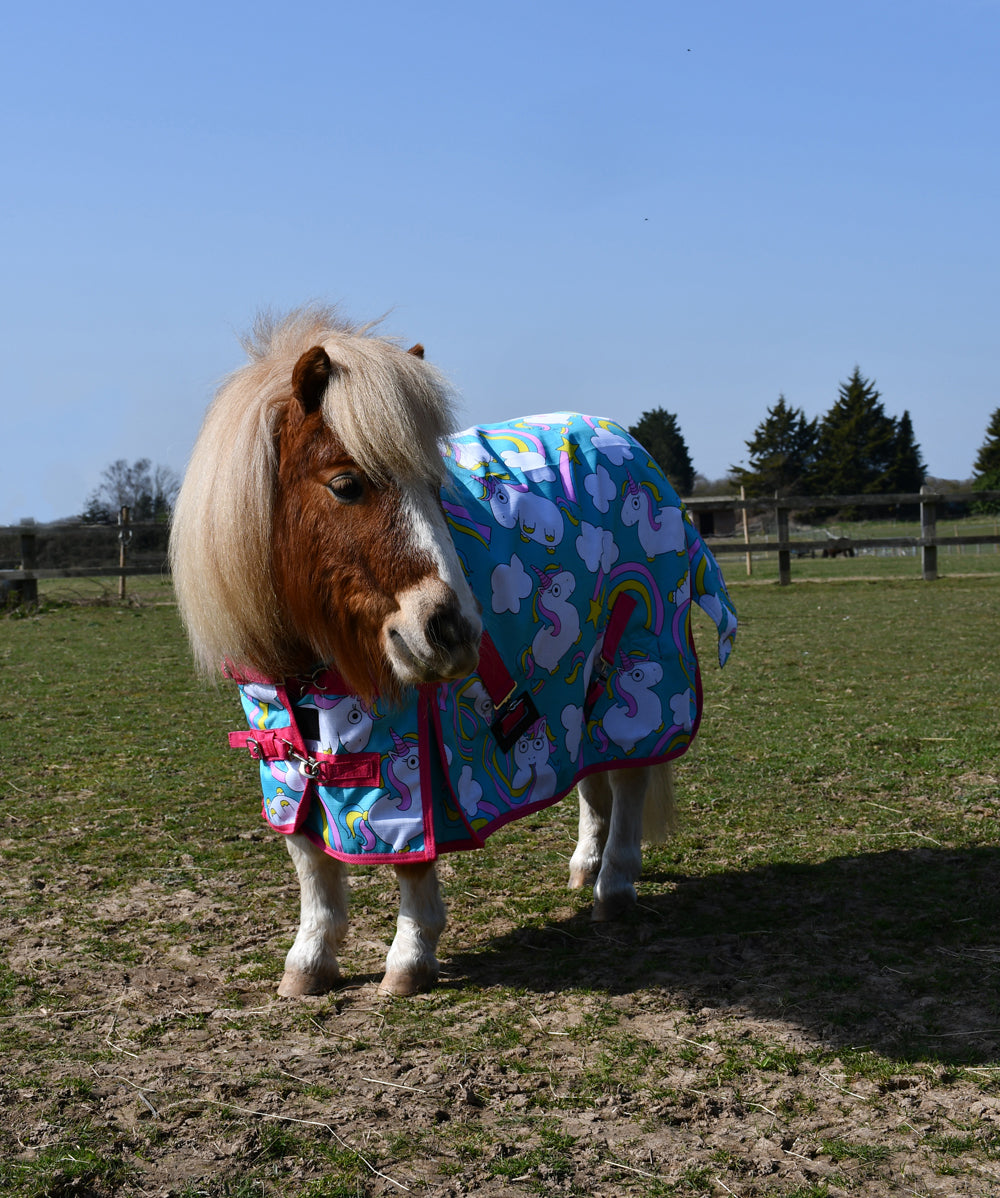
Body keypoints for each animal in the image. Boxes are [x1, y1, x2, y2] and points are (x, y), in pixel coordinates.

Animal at [170, 307, 737, 997]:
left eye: (436, 486)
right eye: (346, 484)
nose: (455, 632)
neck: (305, 658)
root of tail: (627, 446)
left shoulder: (403, 755)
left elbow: (412, 862)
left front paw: (409, 959)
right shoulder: (283, 752)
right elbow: (308, 857)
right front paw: (309, 960)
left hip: (634, 657)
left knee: (628, 776)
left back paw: (614, 886)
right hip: (576, 680)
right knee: (592, 773)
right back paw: (586, 865)